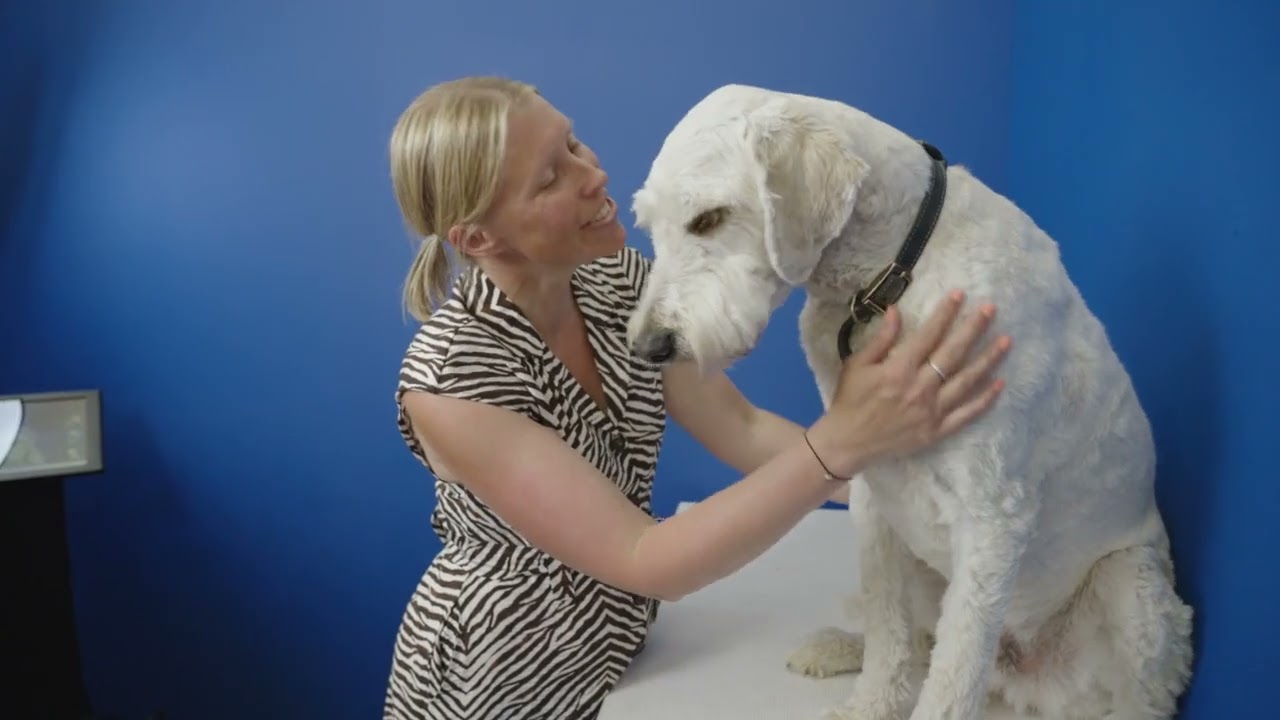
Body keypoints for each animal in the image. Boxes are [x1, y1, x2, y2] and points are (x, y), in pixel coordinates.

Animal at [626, 84, 1194, 720]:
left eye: (709, 219)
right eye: (651, 227)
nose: (648, 347)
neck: (891, 274)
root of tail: (1019, 681)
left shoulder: (992, 516)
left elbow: (951, 677)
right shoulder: (874, 486)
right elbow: (887, 629)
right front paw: (867, 705)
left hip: (1132, 586)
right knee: (915, 639)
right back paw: (836, 647)